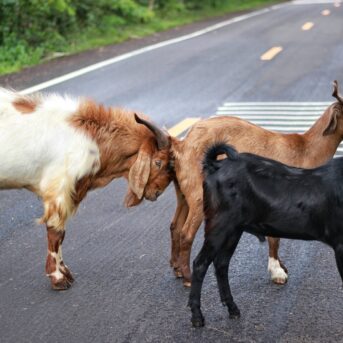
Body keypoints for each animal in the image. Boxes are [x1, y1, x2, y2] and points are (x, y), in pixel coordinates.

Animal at [0, 88, 172, 290]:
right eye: (158, 162)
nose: (156, 193)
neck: (93, 139)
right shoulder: (59, 188)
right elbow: (56, 233)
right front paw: (58, 278)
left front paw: (65, 272)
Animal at [171, 80, 343, 288]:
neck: (305, 149)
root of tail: (182, 145)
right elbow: (274, 238)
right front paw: (277, 272)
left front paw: (281, 267)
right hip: (198, 195)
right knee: (186, 233)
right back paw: (188, 278)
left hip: (183, 193)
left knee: (176, 226)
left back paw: (178, 270)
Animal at [189, 142, 343, 328]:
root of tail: (215, 165)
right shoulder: (341, 246)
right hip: (219, 225)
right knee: (200, 264)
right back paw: (197, 316)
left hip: (234, 229)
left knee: (221, 264)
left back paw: (232, 308)